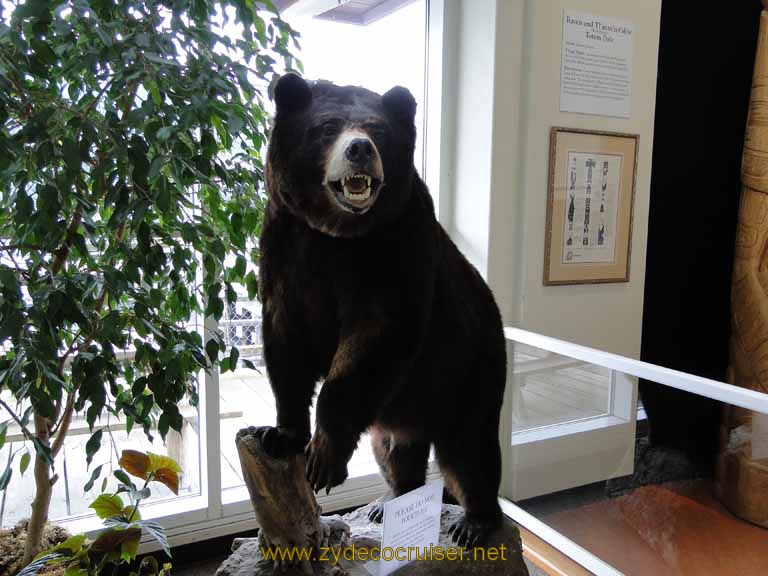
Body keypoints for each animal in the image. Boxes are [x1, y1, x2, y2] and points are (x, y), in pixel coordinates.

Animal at [258, 72, 510, 544]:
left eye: (378, 131)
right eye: (327, 127)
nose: (359, 148)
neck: (337, 234)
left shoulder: (396, 247)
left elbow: (376, 337)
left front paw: (324, 458)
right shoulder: (285, 248)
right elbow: (285, 343)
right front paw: (280, 434)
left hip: (470, 366)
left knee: (470, 450)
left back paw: (475, 521)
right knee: (392, 449)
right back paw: (389, 498)